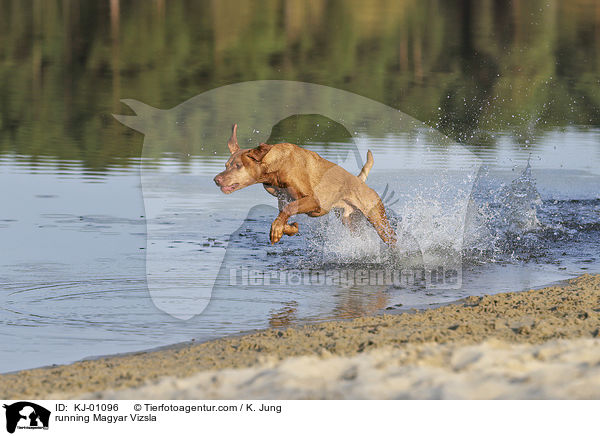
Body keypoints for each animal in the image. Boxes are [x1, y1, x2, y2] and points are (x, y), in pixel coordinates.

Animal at [213, 124, 396, 245]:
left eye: (238, 166)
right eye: (226, 165)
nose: (216, 179)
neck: (276, 166)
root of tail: (360, 180)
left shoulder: (313, 201)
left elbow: (287, 211)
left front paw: (277, 231)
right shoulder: (283, 200)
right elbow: (285, 217)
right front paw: (289, 228)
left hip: (378, 220)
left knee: (392, 237)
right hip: (351, 222)